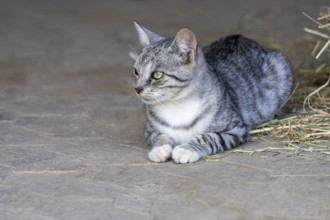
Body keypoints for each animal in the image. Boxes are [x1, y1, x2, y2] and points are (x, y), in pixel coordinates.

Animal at [130, 22, 292, 163]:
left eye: (157, 74)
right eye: (136, 71)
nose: (137, 89)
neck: (177, 104)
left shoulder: (235, 129)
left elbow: (208, 137)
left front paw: (186, 149)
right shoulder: (149, 130)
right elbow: (158, 136)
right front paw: (160, 148)